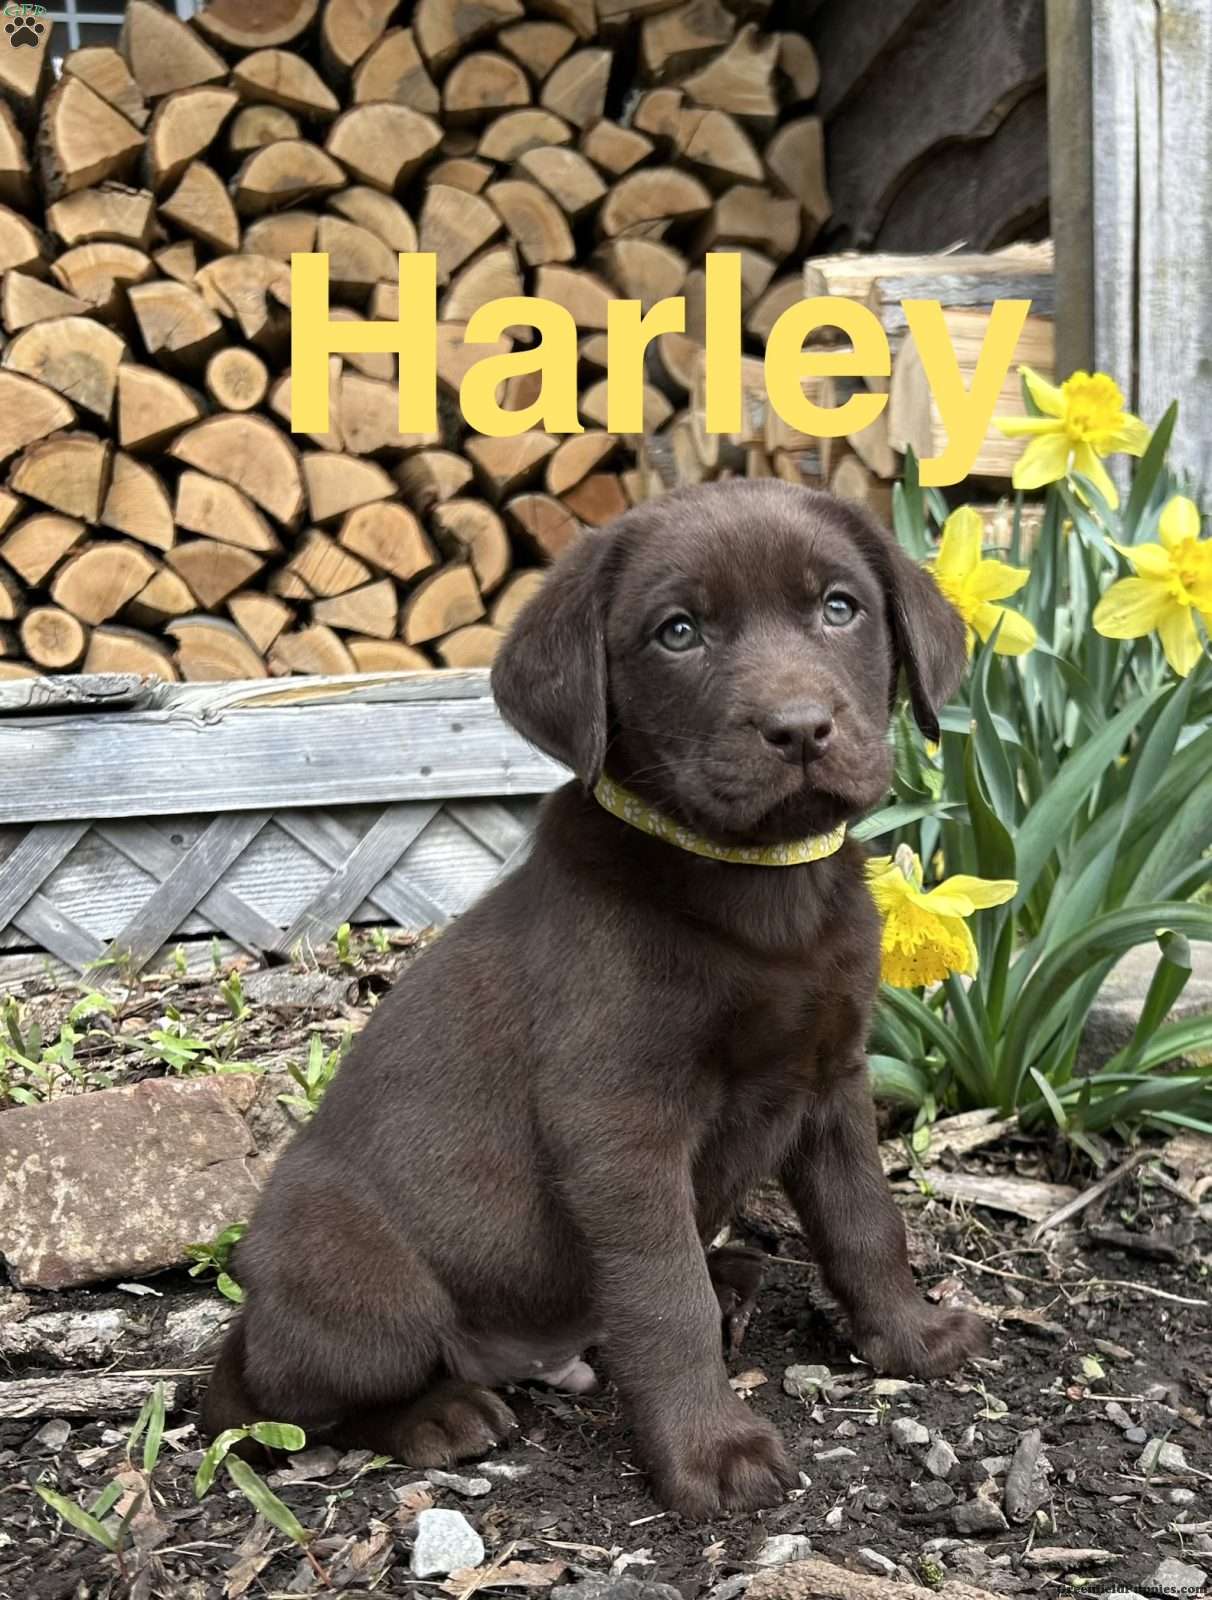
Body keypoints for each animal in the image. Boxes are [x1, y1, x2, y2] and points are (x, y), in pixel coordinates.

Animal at [202, 480, 985, 1519]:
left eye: (839, 607)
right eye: (678, 632)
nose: (800, 728)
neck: (761, 895)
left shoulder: (832, 1078)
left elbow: (866, 1222)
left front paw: (911, 1337)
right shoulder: (616, 1123)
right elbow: (662, 1297)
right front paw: (710, 1451)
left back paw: (733, 1273)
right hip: (356, 1282)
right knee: (294, 1403)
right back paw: (441, 1416)